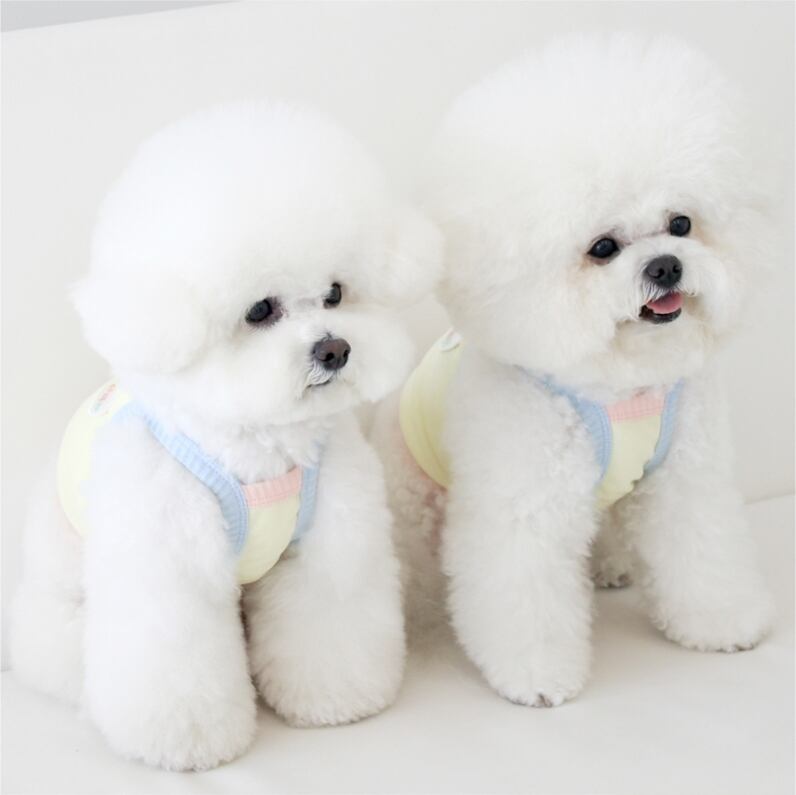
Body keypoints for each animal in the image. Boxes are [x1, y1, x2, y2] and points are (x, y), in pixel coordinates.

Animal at [10, 102, 441, 769]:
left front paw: (337, 697)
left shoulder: (327, 546)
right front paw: (188, 741)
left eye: (336, 293)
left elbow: (327, 619)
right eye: (260, 310)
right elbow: (177, 658)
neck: (259, 445)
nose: (335, 349)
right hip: (60, 593)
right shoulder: (169, 568)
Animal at [373, 33, 775, 707]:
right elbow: (524, 593)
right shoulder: (525, 503)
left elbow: (700, 548)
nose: (666, 265)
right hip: (415, 496)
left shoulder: (684, 479)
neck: (620, 383)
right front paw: (537, 677)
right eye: (603, 248)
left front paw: (720, 622)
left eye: (681, 223)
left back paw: (611, 565)